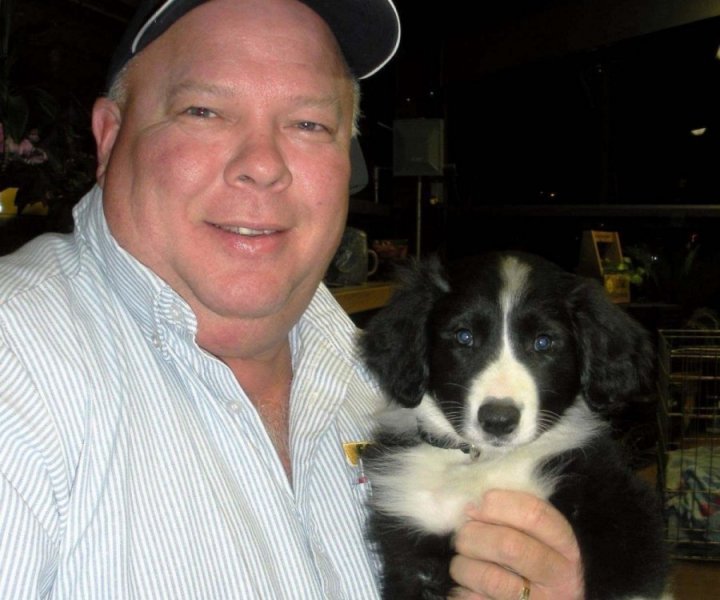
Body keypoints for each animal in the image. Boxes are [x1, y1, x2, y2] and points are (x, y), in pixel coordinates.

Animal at [362, 252, 672, 600]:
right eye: (464, 337)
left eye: (543, 342)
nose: (498, 420)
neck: (484, 461)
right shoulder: (412, 531)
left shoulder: (614, 496)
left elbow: (626, 579)